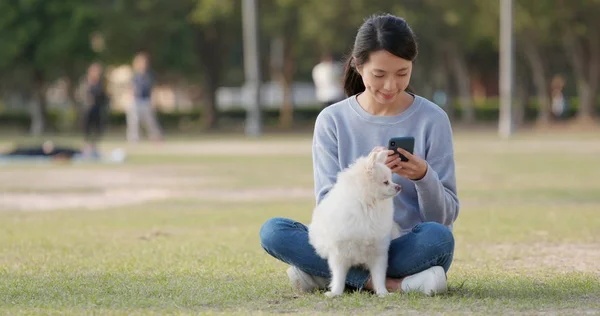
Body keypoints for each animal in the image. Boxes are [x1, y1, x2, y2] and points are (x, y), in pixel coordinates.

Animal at [310, 150, 404, 296]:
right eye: (385, 182)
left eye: (391, 180)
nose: (398, 187)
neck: (369, 207)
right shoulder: (339, 254)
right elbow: (339, 276)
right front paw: (336, 292)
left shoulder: (379, 252)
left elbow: (379, 276)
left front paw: (383, 293)